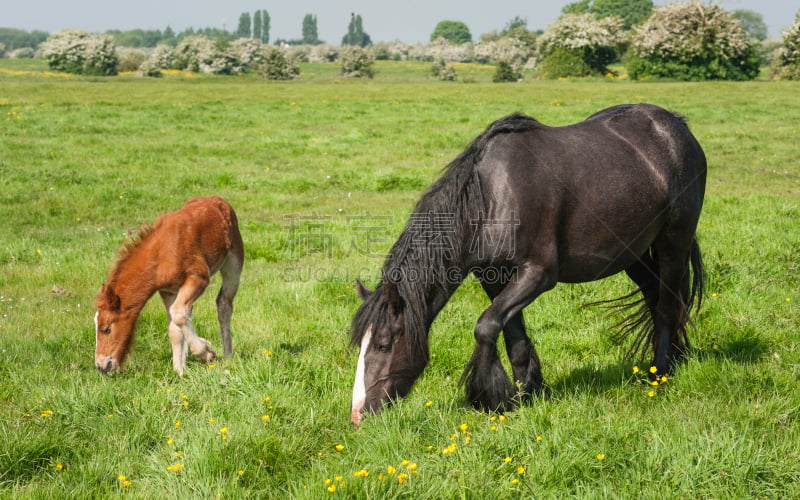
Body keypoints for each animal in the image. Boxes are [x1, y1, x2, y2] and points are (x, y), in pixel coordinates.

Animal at [94, 195, 244, 376]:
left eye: (106, 329)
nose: (101, 366)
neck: (160, 254)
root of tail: (217, 199)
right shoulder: (168, 291)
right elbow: (174, 328)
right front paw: (179, 372)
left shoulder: (199, 277)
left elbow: (178, 314)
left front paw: (207, 353)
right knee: (189, 311)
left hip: (234, 261)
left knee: (224, 304)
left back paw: (228, 356)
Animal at [350, 103, 708, 424]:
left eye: (383, 345)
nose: (358, 415)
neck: (492, 196)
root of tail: (677, 126)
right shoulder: (494, 277)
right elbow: (514, 339)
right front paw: (529, 394)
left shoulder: (538, 274)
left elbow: (485, 326)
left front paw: (491, 397)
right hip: (633, 252)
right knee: (655, 297)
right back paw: (672, 358)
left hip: (673, 241)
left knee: (666, 306)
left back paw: (661, 373)